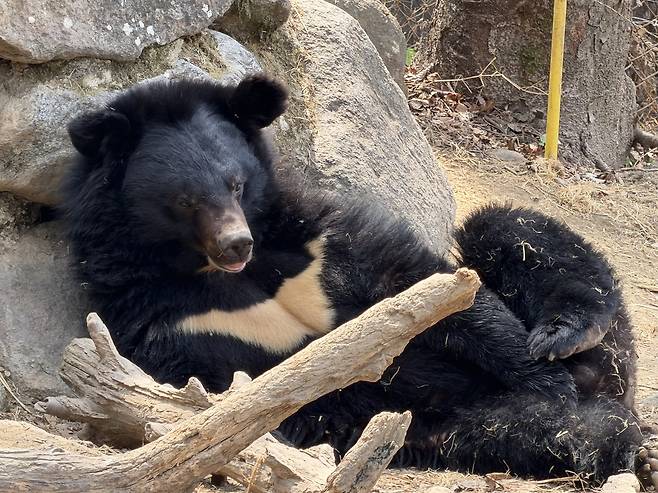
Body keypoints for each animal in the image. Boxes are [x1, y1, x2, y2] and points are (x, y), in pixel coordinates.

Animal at [61, 74, 657, 487]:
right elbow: (259, 392)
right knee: (540, 432)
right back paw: (620, 440)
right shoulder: (167, 320)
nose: (236, 244)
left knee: (511, 231)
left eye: (236, 184)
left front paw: (542, 373)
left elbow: (423, 287)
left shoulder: (319, 238)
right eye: (185, 201)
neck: (222, 272)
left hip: (604, 340)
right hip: (463, 426)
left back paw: (564, 343)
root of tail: (614, 387)